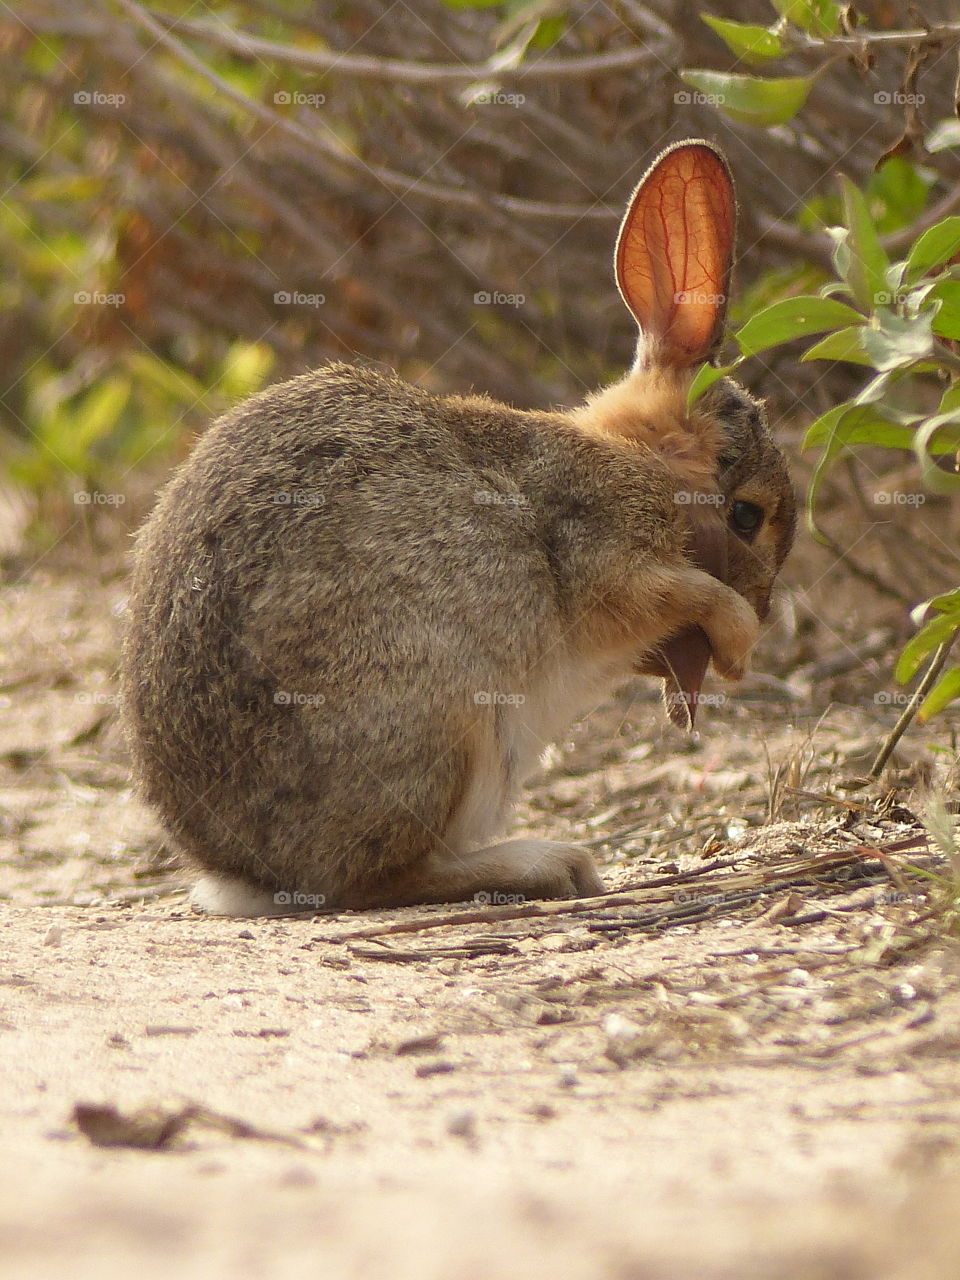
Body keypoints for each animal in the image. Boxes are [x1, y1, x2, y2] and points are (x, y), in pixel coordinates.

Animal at [120, 140, 798, 916]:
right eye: (747, 515)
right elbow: (677, 592)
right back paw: (546, 865)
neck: (642, 458)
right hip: (448, 724)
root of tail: (247, 873)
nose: (768, 612)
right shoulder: (605, 556)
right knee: (378, 878)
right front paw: (740, 639)